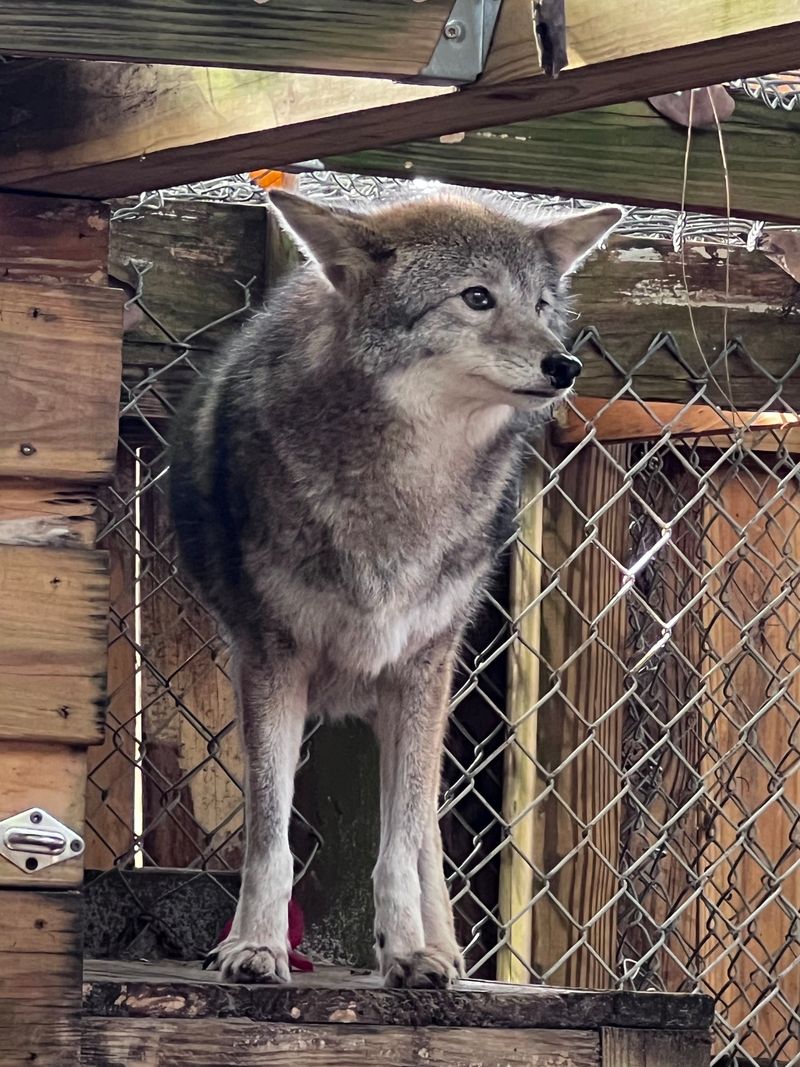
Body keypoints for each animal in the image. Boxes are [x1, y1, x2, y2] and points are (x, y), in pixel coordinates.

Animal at [169, 188, 622, 988]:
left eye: (541, 304)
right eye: (476, 297)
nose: (564, 363)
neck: (402, 493)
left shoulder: (419, 667)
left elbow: (401, 848)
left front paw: (409, 951)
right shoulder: (271, 660)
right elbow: (270, 837)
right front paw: (255, 947)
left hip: (425, 694)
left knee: (422, 836)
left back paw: (442, 951)